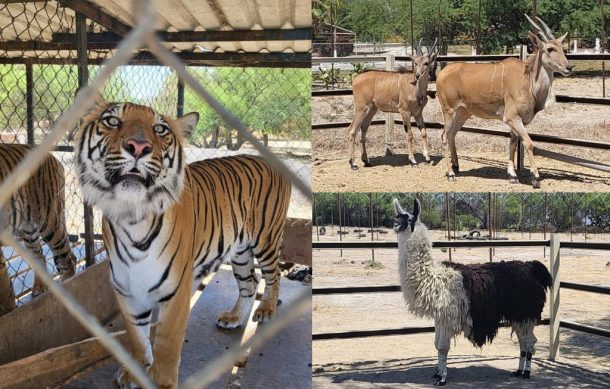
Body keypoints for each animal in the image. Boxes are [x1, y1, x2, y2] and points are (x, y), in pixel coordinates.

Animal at [0, 142, 75, 316]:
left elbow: (4, 286)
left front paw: (8, 311)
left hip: (50, 223)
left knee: (66, 260)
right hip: (29, 230)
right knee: (40, 255)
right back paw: (40, 287)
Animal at [75, 100, 290, 388]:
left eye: (160, 129)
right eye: (112, 121)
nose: (138, 147)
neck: (133, 219)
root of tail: (267, 158)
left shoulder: (176, 292)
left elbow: (167, 344)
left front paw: (161, 381)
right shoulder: (127, 290)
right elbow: (137, 337)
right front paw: (135, 371)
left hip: (266, 239)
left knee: (274, 276)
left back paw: (266, 309)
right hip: (241, 251)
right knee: (250, 282)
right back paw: (234, 318)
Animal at [436, 13, 568, 186]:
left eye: (562, 48)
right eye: (550, 49)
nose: (568, 67)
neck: (528, 81)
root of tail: (440, 73)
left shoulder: (517, 121)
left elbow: (512, 143)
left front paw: (512, 175)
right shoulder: (512, 118)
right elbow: (528, 143)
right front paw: (535, 177)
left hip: (464, 112)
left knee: (452, 134)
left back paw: (456, 166)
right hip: (449, 110)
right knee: (444, 136)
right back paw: (450, 173)